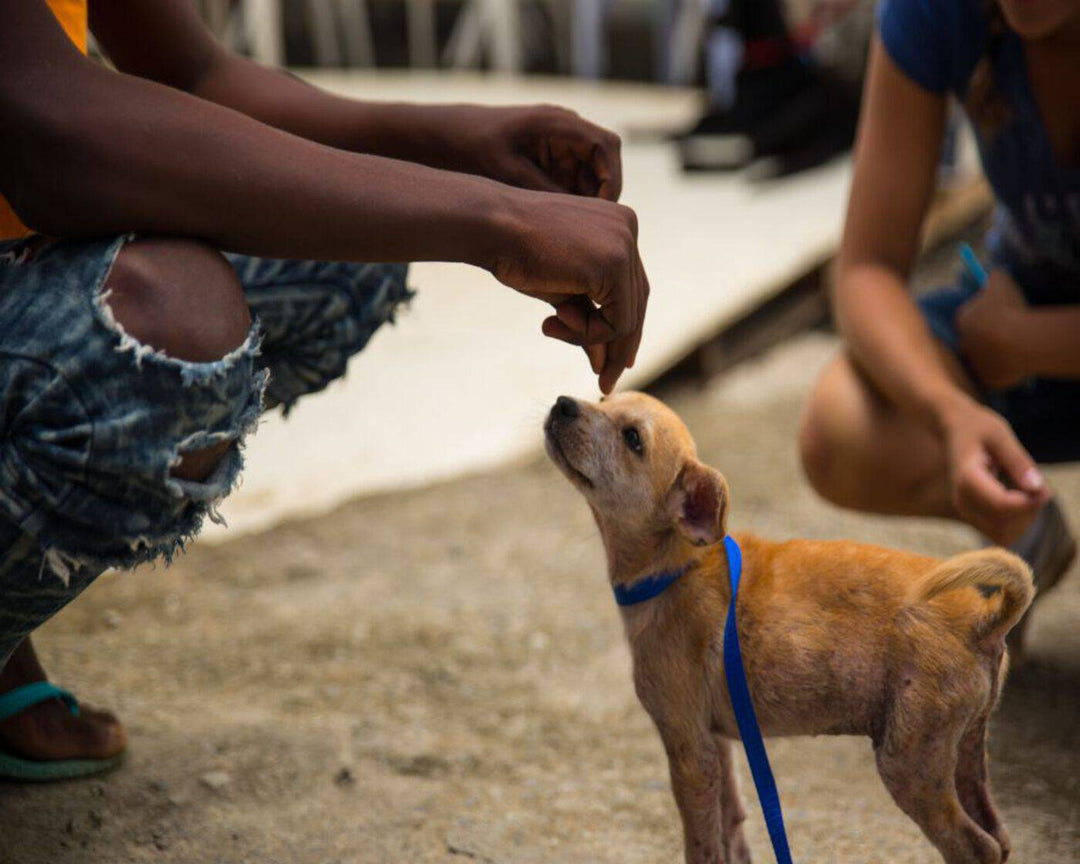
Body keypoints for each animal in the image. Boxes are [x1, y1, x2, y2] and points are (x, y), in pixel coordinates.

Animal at [544, 393, 1032, 864]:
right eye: (603, 400)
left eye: (633, 439)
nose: (563, 403)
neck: (677, 566)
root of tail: (984, 617)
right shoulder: (717, 742)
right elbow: (731, 822)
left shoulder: (688, 750)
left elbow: (701, 842)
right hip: (965, 746)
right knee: (999, 836)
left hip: (910, 762)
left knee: (975, 847)